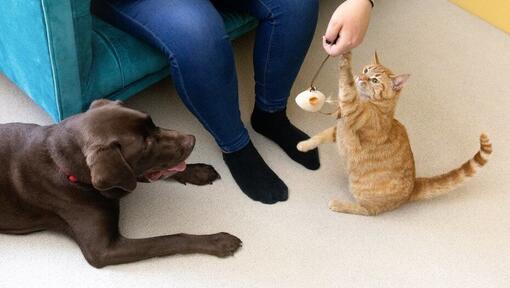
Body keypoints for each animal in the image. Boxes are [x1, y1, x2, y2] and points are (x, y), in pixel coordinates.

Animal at [0, 99, 242, 268]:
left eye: (153, 123)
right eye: (146, 146)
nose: (192, 140)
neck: (65, 168)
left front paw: (198, 171)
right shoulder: (103, 251)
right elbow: (169, 239)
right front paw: (218, 241)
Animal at [296, 51, 492, 215]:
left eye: (374, 80)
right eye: (366, 70)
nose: (360, 77)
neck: (376, 106)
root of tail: (413, 187)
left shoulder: (352, 108)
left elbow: (346, 83)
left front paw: (346, 55)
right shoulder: (339, 129)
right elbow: (320, 136)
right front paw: (304, 146)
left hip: (361, 192)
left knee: (367, 211)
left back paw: (339, 205)